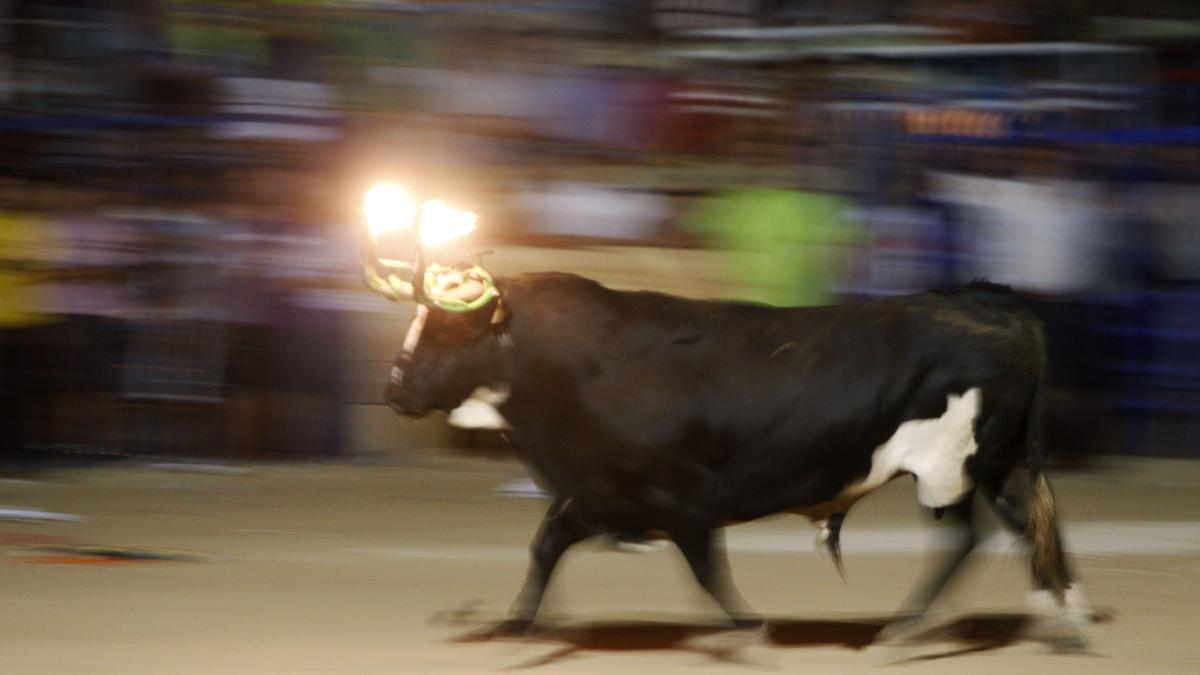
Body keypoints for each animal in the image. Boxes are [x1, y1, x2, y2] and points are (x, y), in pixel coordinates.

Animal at [369, 255, 1094, 638]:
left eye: (445, 330)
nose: (395, 387)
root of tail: (990, 301)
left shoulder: (662, 496)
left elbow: (702, 567)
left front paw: (749, 628)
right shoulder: (604, 495)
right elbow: (549, 544)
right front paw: (517, 622)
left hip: (949, 466)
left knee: (966, 537)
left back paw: (904, 629)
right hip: (997, 463)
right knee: (1028, 524)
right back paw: (1063, 617)